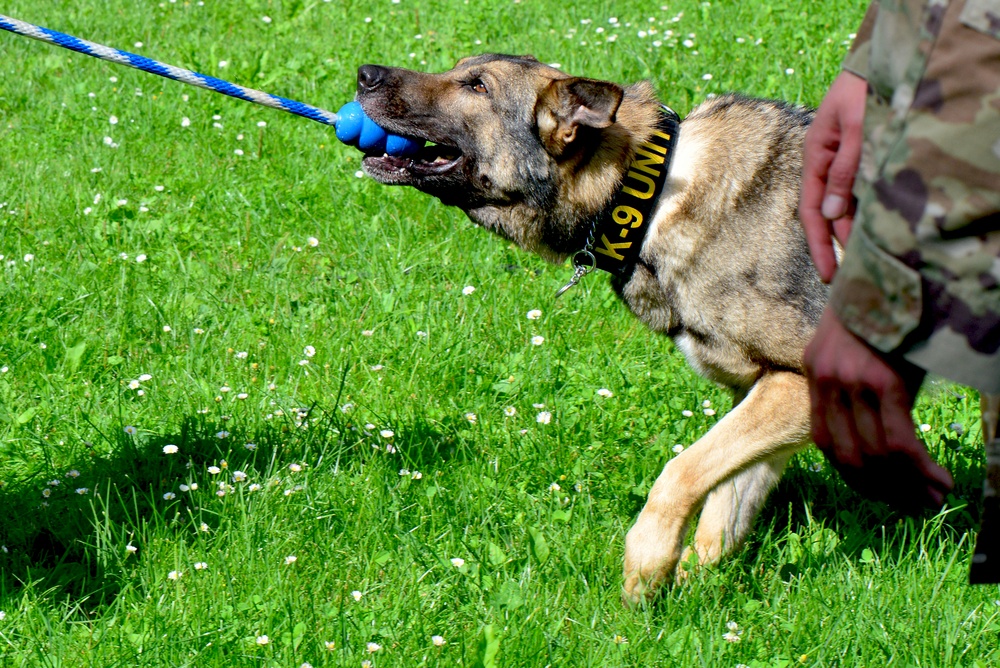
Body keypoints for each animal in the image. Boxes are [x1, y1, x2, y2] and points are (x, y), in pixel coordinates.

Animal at [356, 54, 824, 604]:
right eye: (459, 69)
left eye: (477, 86)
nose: (364, 74)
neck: (650, 193)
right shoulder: (765, 390)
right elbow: (723, 510)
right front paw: (693, 586)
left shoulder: (803, 387)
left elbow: (681, 472)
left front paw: (646, 567)